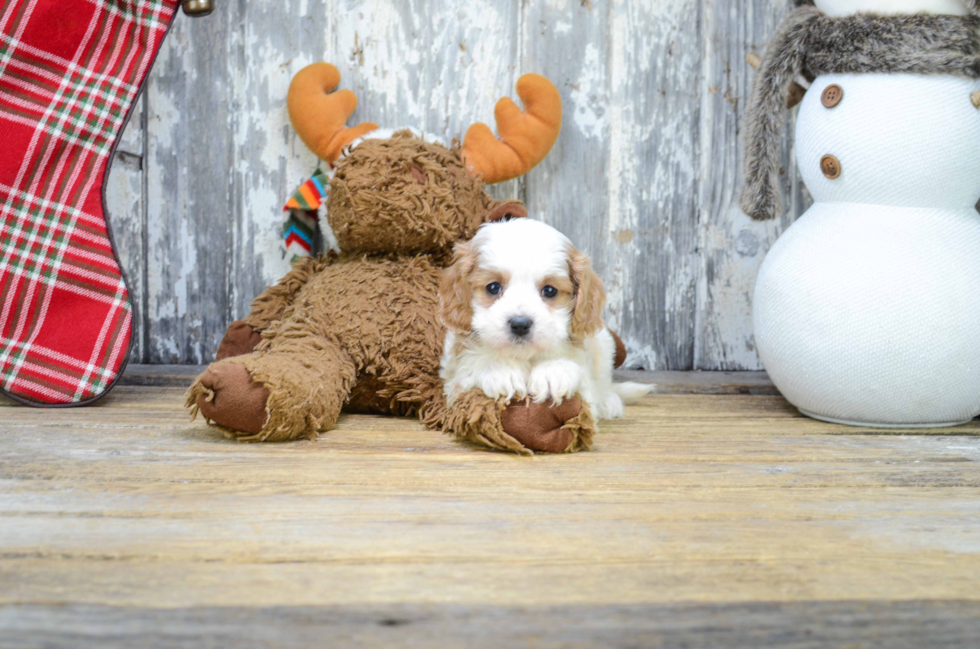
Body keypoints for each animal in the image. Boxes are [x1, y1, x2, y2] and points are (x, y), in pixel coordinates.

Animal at [436, 218, 652, 420]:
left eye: (549, 291)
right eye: (493, 287)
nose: (520, 324)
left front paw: (554, 372)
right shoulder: (453, 383)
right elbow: (471, 369)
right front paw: (499, 370)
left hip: (605, 345)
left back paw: (609, 401)